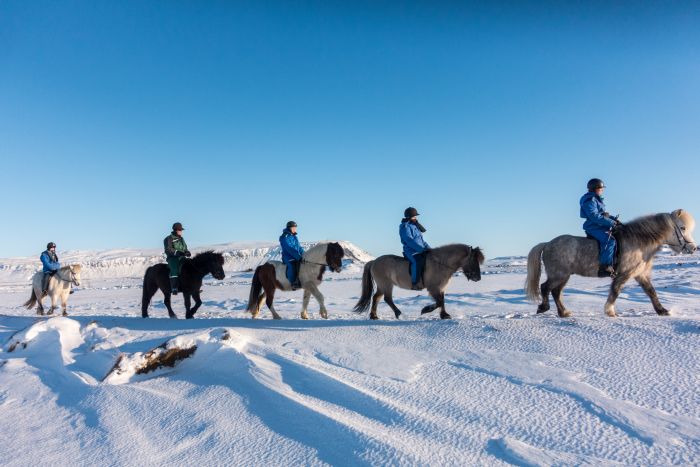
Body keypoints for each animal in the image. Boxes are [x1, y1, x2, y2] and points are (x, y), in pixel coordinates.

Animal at [352, 243, 484, 320]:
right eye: (473, 260)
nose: (478, 278)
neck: (440, 263)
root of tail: (373, 262)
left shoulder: (441, 288)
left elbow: (442, 301)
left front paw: (444, 315)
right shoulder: (433, 288)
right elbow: (439, 302)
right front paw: (426, 310)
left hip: (382, 285)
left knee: (376, 298)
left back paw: (374, 316)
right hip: (386, 284)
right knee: (387, 299)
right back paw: (399, 314)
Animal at [524, 211, 696, 318]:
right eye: (683, 228)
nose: (693, 248)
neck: (639, 242)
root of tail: (547, 244)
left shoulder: (640, 274)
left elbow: (651, 292)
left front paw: (662, 311)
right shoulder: (624, 274)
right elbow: (615, 291)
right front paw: (610, 311)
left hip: (563, 276)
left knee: (556, 292)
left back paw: (563, 313)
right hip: (558, 274)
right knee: (545, 287)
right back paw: (544, 307)